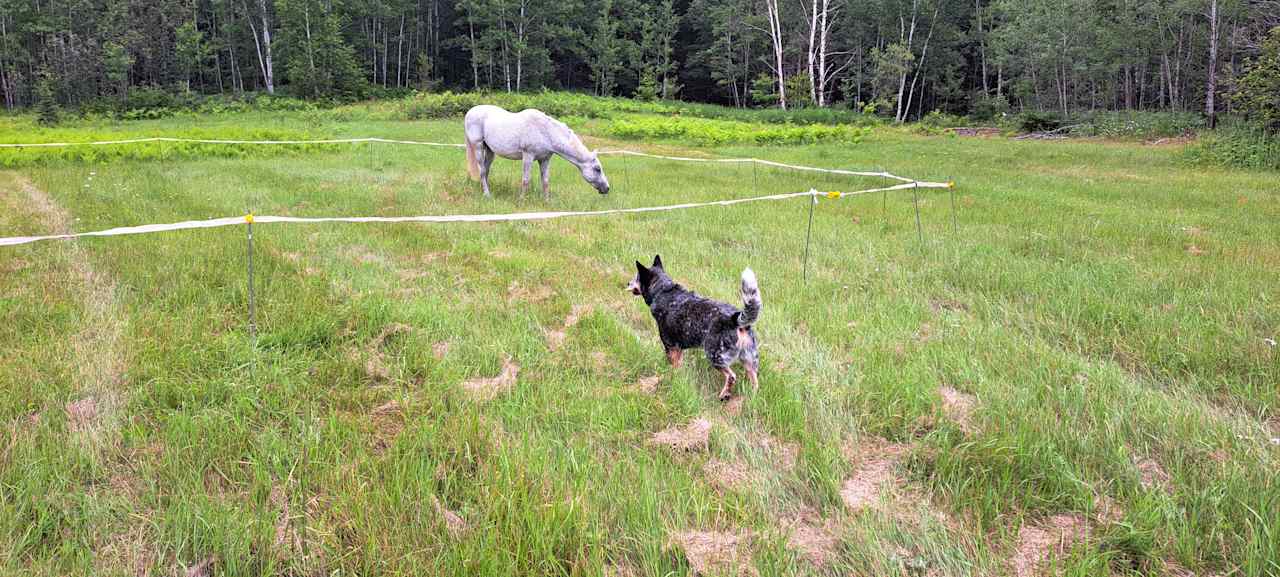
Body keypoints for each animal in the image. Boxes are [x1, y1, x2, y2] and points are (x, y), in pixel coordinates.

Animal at [465, 104, 609, 199]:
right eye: (597, 169)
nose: (607, 188)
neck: (546, 132)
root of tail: (470, 112)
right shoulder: (528, 156)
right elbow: (526, 179)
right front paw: (521, 200)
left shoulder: (545, 159)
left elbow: (545, 181)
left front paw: (546, 201)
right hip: (478, 147)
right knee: (482, 171)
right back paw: (487, 194)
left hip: (490, 151)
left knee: (486, 170)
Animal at [627, 255, 757, 399]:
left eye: (636, 277)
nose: (627, 283)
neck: (663, 291)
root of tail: (735, 319)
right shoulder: (678, 349)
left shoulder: (670, 347)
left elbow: (673, 367)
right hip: (749, 360)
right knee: (755, 381)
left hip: (714, 355)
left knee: (731, 376)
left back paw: (724, 394)